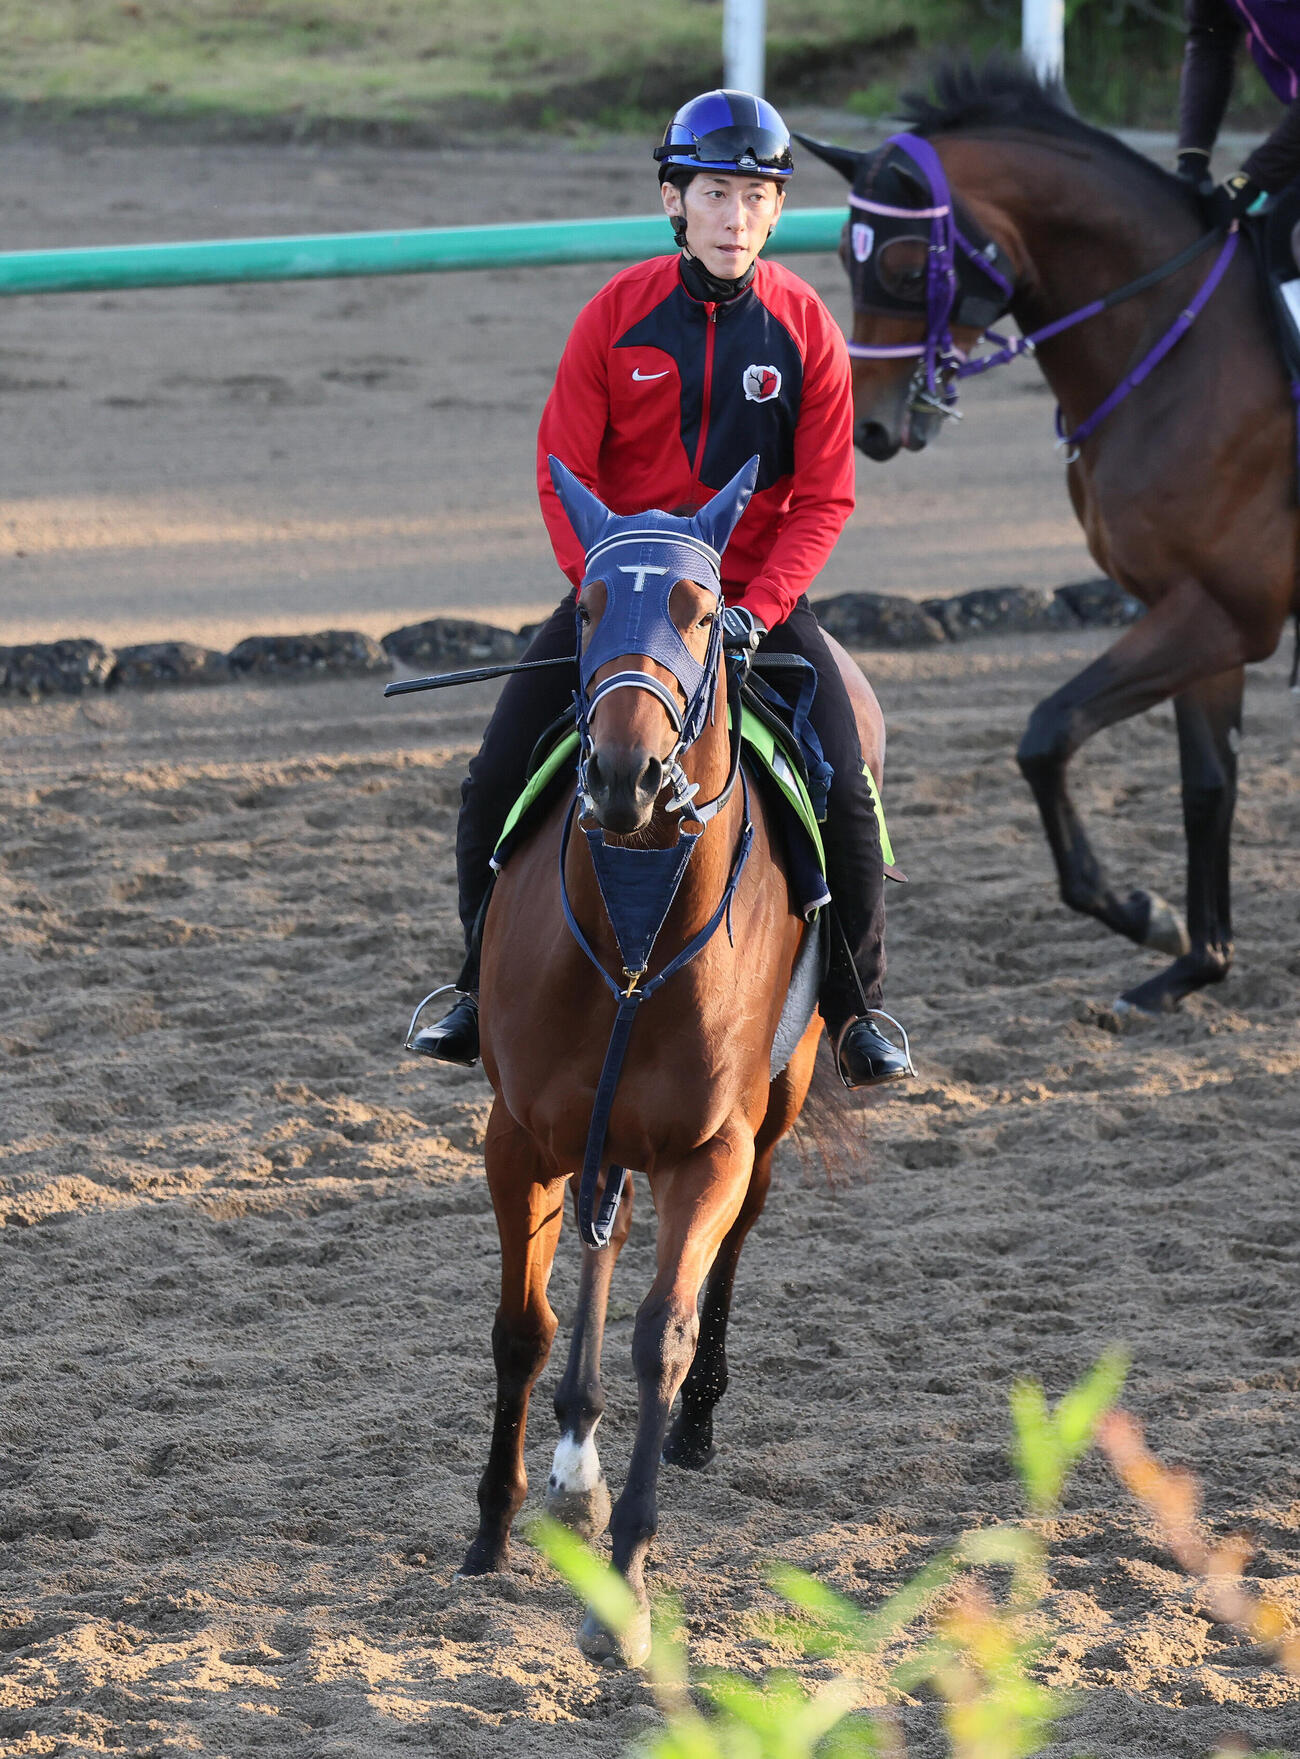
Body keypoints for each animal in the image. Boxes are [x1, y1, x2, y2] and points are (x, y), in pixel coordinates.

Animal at [456, 457, 884, 1664]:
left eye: (703, 610)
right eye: (589, 608)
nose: (623, 775)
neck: (633, 932)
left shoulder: (711, 1147)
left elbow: (666, 1333)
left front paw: (629, 1585)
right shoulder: (520, 1135)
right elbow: (524, 1327)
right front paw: (496, 1525)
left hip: (776, 1108)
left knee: (728, 1247)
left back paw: (683, 1431)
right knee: (603, 1237)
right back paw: (572, 1457)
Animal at [799, 60, 1300, 1015]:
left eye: (905, 262)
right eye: (844, 256)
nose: (871, 427)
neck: (1175, 348)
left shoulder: (1226, 614)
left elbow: (1046, 733)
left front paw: (1140, 913)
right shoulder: (1197, 616)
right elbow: (1205, 787)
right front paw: (1192, 960)